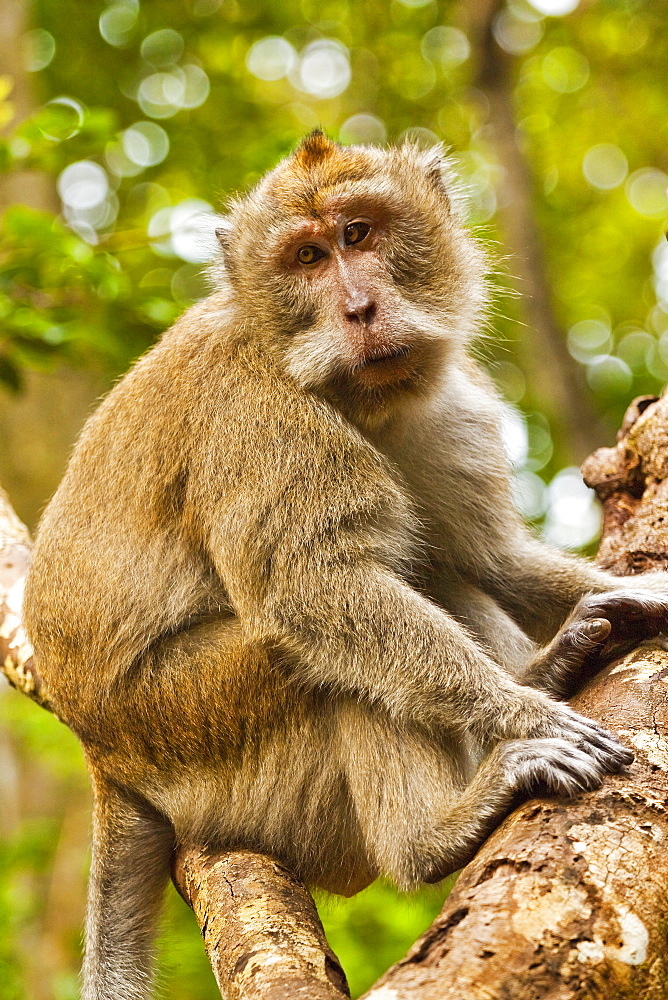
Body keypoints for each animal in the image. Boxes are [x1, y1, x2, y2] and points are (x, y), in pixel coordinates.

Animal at [22, 135, 668, 1000]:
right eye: (306, 258)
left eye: (358, 234)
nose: (359, 309)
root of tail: (101, 755)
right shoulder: (258, 415)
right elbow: (313, 591)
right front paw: (526, 716)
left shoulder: (450, 406)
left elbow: (491, 558)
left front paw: (635, 597)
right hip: (189, 730)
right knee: (321, 663)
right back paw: (435, 835)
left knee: (431, 572)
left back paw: (553, 663)